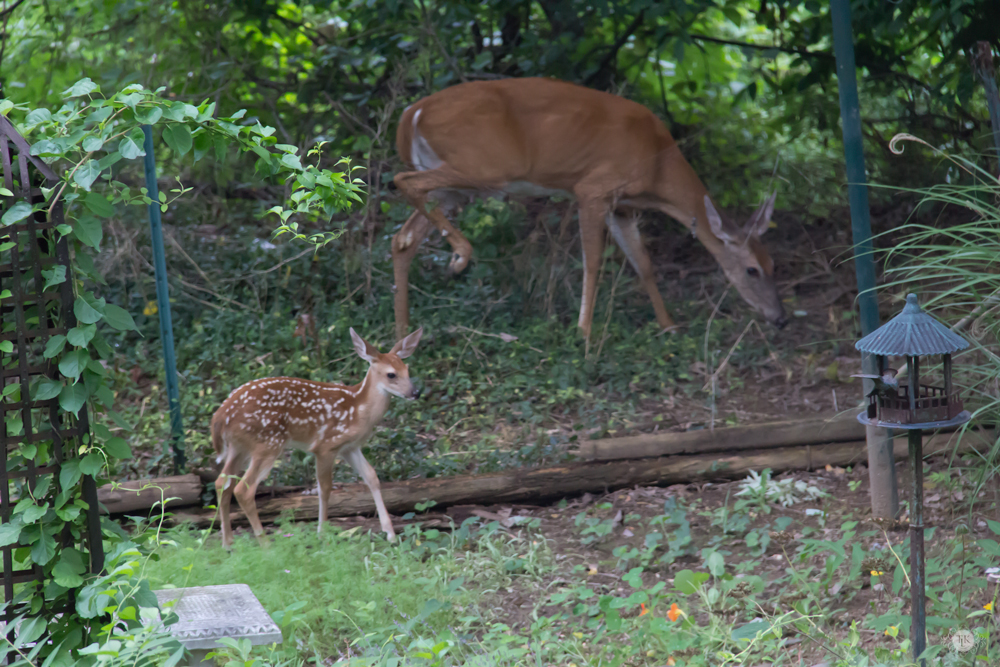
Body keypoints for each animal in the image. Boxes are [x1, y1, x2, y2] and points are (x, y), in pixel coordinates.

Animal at [213, 328, 424, 548]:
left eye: (407, 369)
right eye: (391, 374)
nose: (416, 392)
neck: (359, 410)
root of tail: (220, 415)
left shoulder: (350, 447)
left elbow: (372, 477)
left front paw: (390, 534)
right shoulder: (326, 445)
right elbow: (324, 488)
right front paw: (322, 533)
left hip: (240, 447)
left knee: (222, 483)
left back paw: (227, 543)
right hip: (268, 443)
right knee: (243, 489)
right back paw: (265, 544)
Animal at [392, 76, 788, 342]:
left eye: (773, 265)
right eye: (752, 270)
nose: (778, 317)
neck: (657, 167)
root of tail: (411, 113)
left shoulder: (622, 207)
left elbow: (644, 263)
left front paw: (669, 326)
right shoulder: (592, 189)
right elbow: (594, 261)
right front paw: (583, 332)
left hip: (455, 188)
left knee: (403, 237)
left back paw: (401, 335)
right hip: (482, 168)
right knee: (403, 181)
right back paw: (459, 256)